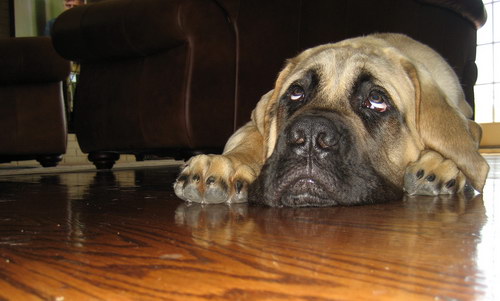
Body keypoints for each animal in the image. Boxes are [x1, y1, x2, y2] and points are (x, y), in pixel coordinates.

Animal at [174, 33, 490, 206]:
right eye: (296, 93)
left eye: (377, 100)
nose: (311, 136)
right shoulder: (253, 121)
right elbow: (250, 139)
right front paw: (225, 165)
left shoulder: (469, 122)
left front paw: (441, 163)